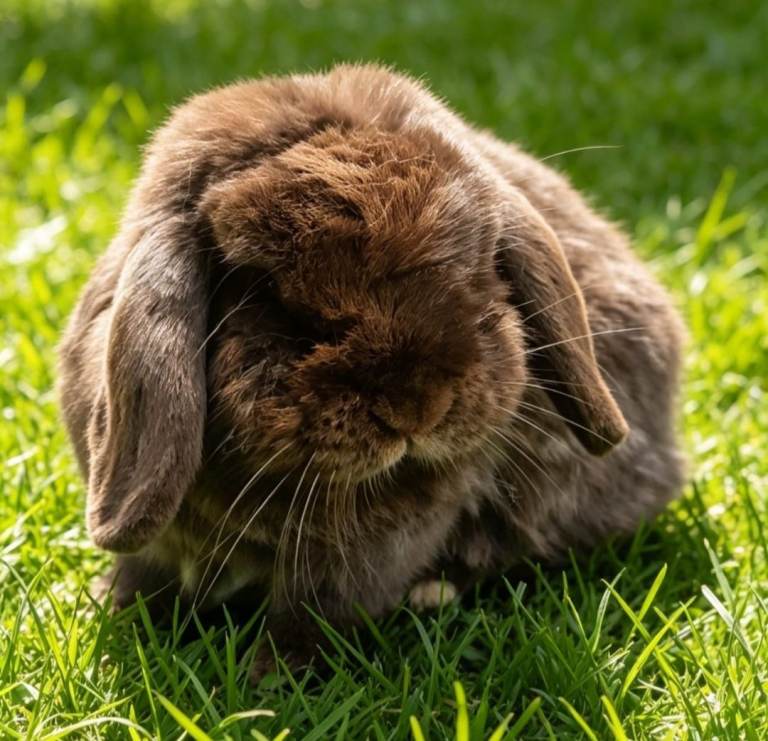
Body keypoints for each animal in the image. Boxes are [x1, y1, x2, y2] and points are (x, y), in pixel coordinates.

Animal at [58, 63, 684, 680]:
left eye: (481, 268)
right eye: (273, 299)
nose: (417, 407)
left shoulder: (370, 555)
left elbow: (320, 612)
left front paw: (272, 679)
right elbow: (150, 580)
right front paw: (110, 606)